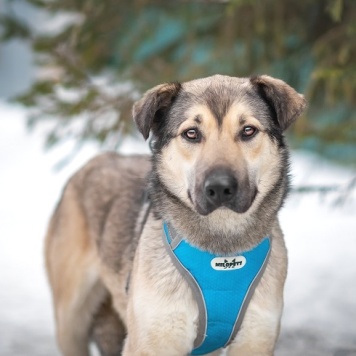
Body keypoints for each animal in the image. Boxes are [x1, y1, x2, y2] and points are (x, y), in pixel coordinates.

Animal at [44, 73, 306, 354]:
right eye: (191, 133)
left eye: (248, 130)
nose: (220, 188)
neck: (222, 248)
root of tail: (94, 161)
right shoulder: (154, 341)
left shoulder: (255, 340)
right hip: (71, 322)